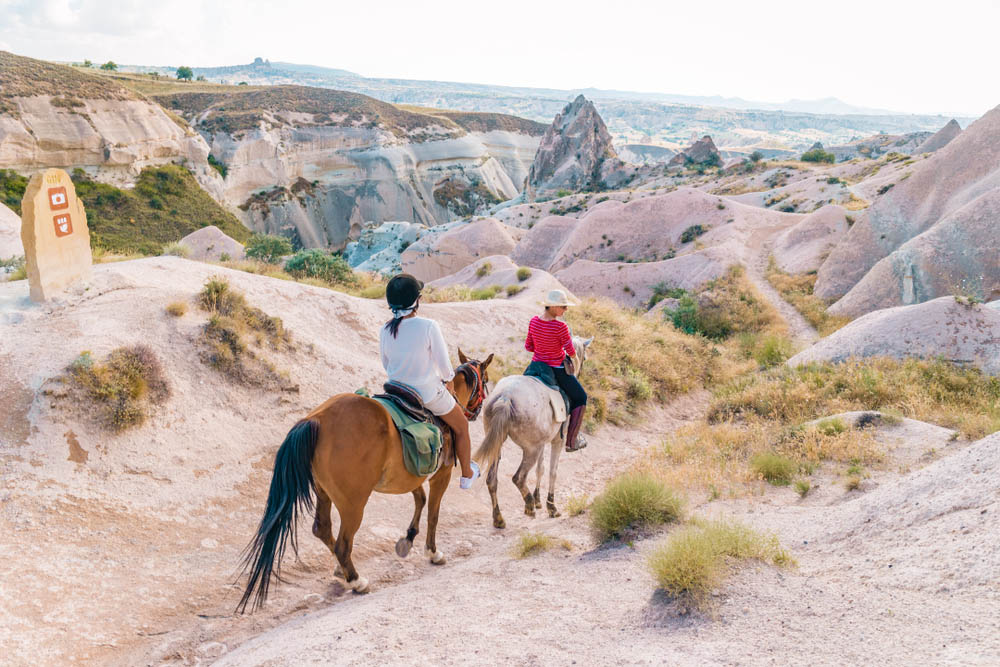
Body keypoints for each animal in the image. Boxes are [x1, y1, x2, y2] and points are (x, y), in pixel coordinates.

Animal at [239, 352, 496, 612]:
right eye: (485, 381)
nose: (476, 411)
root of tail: (317, 419)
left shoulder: (411, 476)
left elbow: (420, 500)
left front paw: (408, 537)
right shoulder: (440, 476)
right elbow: (433, 514)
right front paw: (433, 553)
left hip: (324, 492)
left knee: (322, 529)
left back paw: (341, 569)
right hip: (353, 503)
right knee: (343, 543)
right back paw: (356, 580)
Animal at [472, 336, 588, 528]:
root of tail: (506, 396)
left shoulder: (543, 442)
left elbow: (540, 469)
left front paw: (539, 499)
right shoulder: (557, 441)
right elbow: (552, 471)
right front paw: (550, 506)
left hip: (499, 444)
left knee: (492, 480)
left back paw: (499, 518)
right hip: (530, 449)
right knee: (518, 477)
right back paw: (529, 505)